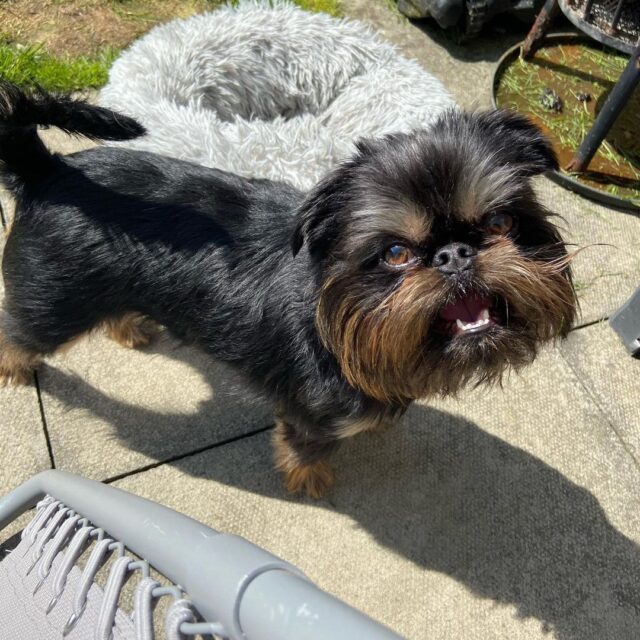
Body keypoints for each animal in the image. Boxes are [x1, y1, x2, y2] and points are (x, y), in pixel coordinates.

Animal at [0, 82, 576, 498]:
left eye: (501, 222)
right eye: (396, 254)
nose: (455, 255)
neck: (336, 316)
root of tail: (48, 169)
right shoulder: (312, 416)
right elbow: (306, 448)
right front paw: (308, 480)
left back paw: (130, 328)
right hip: (54, 304)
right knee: (19, 332)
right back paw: (15, 367)